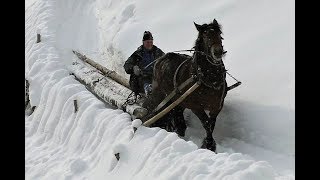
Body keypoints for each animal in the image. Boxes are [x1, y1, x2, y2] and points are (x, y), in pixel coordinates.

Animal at [142, 19, 228, 152]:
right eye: (205, 36)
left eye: (220, 35)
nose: (218, 52)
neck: (206, 78)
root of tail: (161, 59)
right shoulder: (196, 107)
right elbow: (206, 124)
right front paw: (208, 145)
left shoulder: (217, 106)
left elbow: (211, 124)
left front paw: (209, 144)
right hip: (160, 94)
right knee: (154, 109)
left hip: (178, 99)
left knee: (176, 114)